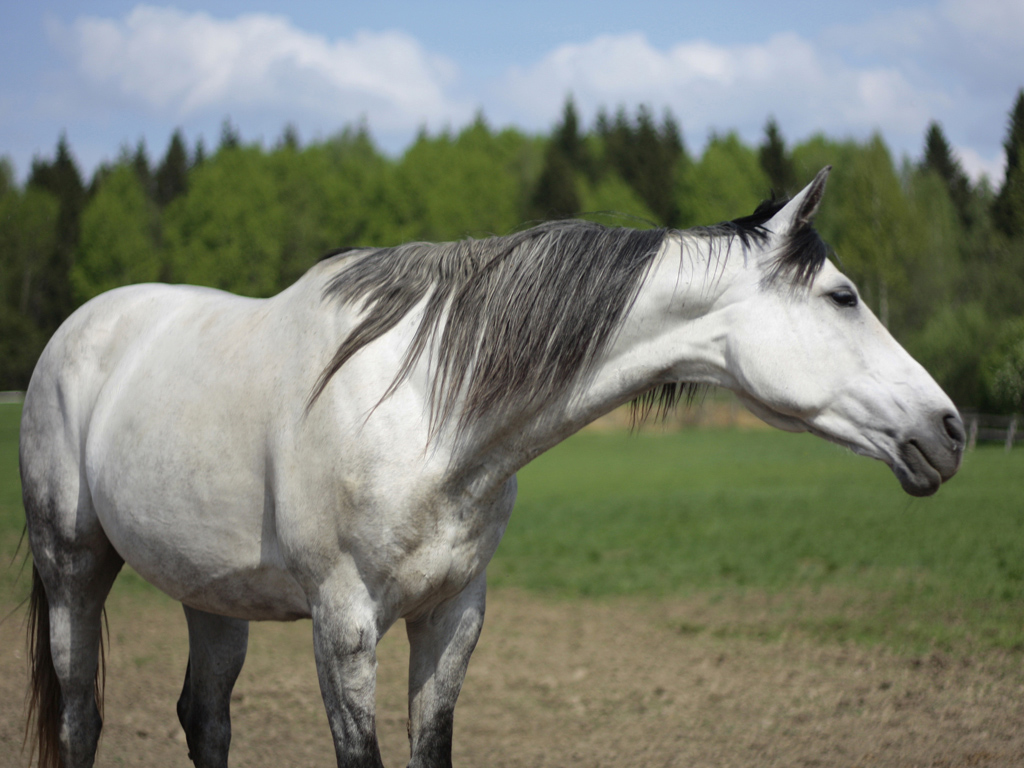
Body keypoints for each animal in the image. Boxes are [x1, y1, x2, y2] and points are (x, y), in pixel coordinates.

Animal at [22, 169, 958, 768]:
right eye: (844, 297)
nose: (947, 430)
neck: (424, 411)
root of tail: (76, 331)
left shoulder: (453, 615)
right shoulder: (344, 625)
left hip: (212, 593)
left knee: (205, 719)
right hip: (74, 569)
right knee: (82, 718)